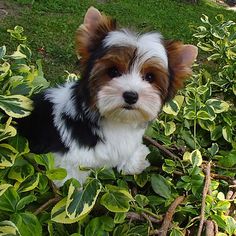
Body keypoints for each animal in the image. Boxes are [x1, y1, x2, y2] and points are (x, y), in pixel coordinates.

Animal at [18, 6, 197, 186]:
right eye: (113, 71)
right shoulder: (66, 159)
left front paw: (134, 161)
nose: (131, 95)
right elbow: (70, 177)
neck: (116, 120)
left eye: (150, 77)